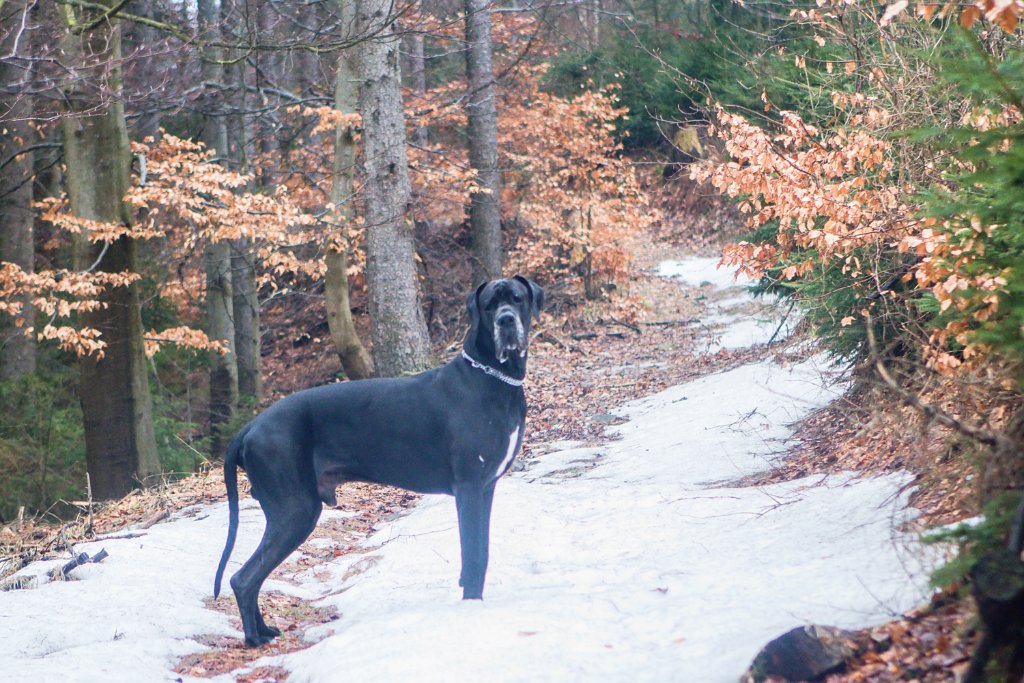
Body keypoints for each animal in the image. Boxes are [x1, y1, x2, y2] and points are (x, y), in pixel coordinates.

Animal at [211, 276, 540, 647]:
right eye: (488, 305)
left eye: (517, 298)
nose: (506, 320)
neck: (493, 377)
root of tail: (250, 427)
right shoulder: (469, 489)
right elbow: (471, 553)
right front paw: (471, 609)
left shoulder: (485, 489)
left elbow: (481, 550)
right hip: (295, 510)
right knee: (244, 577)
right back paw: (254, 637)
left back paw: (264, 630)